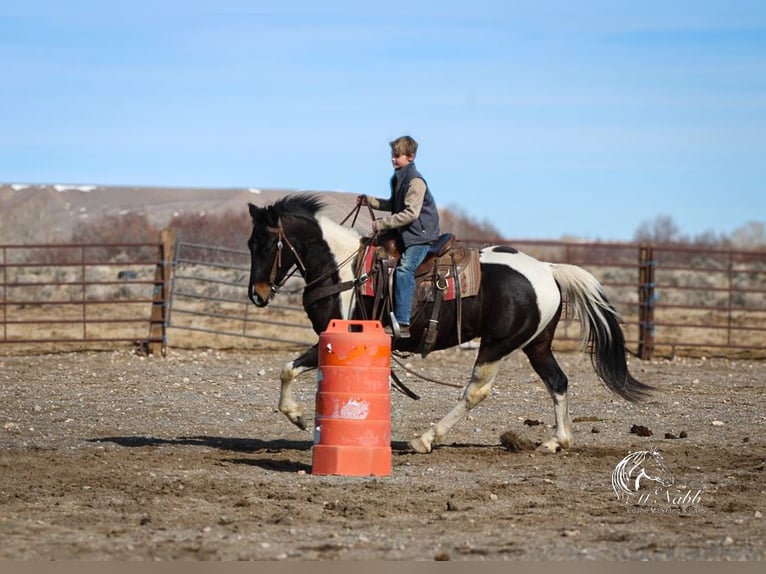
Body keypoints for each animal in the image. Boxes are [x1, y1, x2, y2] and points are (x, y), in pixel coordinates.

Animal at [248, 196, 656, 456]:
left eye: (266, 245)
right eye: (250, 244)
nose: (257, 294)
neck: (343, 269)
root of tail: (547, 269)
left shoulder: (334, 336)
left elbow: (288, 369)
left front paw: (298, 416)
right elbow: (290, 369)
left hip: (498, 344)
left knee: (476, 392)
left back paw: (427, 438)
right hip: (536, 345)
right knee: (557, 381)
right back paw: (557, 441)